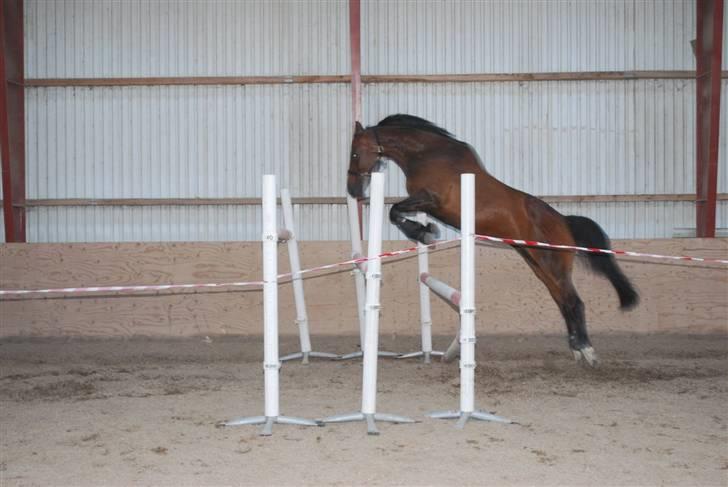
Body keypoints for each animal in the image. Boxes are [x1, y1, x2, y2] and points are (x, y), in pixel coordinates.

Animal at [346, 114, 636, 366]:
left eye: (355, 153)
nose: (352, 190)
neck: (427, 155)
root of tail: (563, 220)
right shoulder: (429, 204)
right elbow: (397, 212)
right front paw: (424, 230)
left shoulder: (431, 198)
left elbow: (394, 210)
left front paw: (424, 232)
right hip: (538, 265)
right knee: (563, 301)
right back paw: (576, 349)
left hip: (551, 264)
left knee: (574, 301)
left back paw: (587, 351)